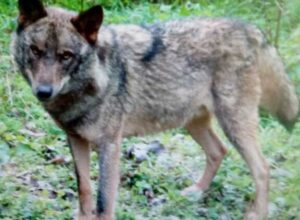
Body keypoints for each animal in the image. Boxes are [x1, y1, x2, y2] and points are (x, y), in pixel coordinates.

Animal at [11, 0, 298, 219]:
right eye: (35, 51)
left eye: (66, 56)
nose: (43, 91)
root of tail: (248, 28)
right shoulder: (76, 139)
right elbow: (84, 189)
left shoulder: (110, 145)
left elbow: (104, 202)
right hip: (194, 123)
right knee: (219, 151)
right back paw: (196, 191)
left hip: (234, 125)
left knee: (262, 168)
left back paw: (257, 213)